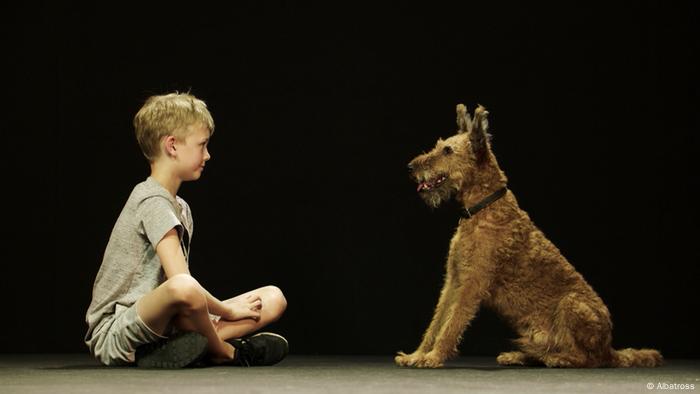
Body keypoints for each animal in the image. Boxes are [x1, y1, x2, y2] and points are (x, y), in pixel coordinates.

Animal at [396, 103, 664, 368]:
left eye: (448, 150)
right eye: (439, 146)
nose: (410, 167)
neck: (483, 208)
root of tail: (610, 348)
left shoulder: (473, 283)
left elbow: (451, 325)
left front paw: (432, 357)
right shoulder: (453, 280)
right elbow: (436, 322)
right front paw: (417, 354)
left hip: (571, 304)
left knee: (587, 359)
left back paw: (558, 359)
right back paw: (521, 356)